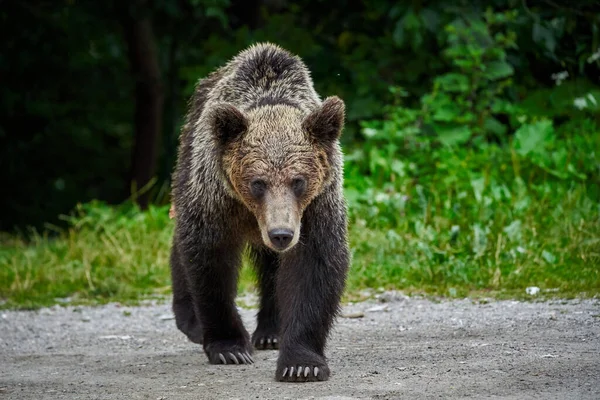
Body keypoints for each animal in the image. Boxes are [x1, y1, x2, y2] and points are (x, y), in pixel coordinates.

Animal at [169, 42, 350, 382]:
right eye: (257, 182)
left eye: (298, 180)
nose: (281, 234)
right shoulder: (217, 200)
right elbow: (210, 260)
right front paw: (230, 348)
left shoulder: (316, 206)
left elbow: (313, 267)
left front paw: (301, 363)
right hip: (187, 160)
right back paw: (191, 321)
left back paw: (270, 332)